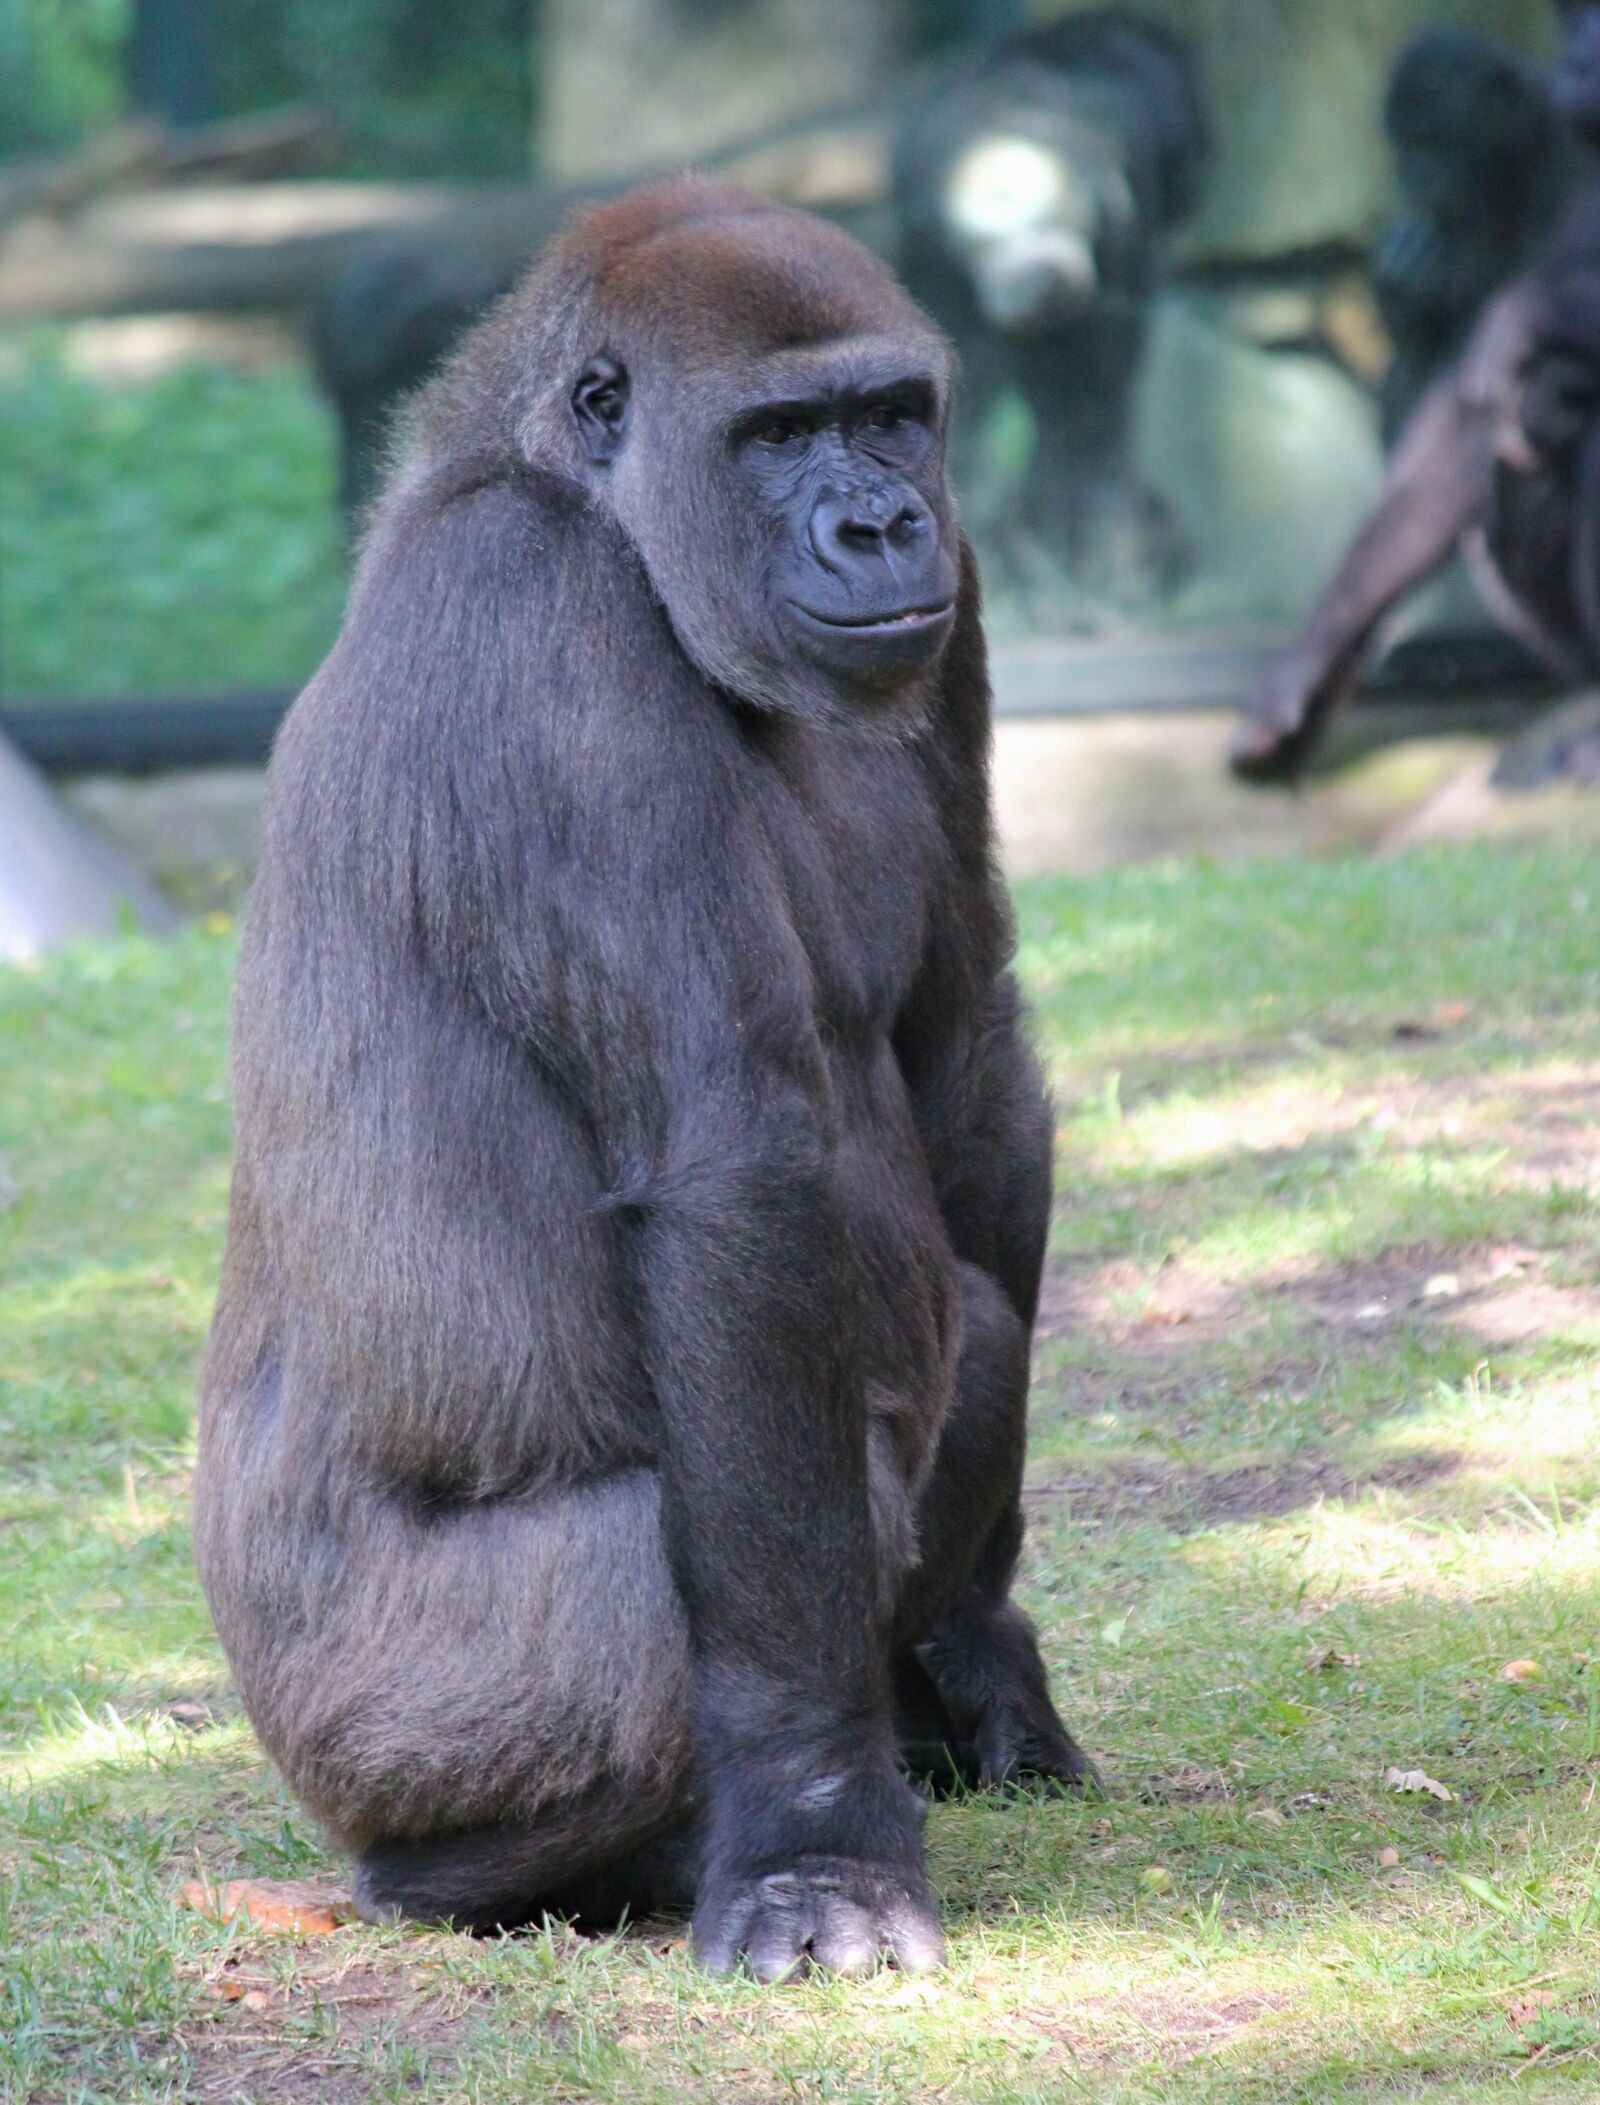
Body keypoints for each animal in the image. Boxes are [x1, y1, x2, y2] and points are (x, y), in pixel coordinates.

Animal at [194, 174, 1096, 1986]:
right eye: (777, 435)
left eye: (891, 415)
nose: (880, 525)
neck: (595, 507)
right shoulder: (544, 626)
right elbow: (737, 1174)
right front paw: (818, 1835)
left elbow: (961, 1057)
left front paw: (981, 1647)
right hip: (364, 1720)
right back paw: (497, 1865)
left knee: (967, 1311)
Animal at [1232, 0, 1600, 784]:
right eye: (1572, 14)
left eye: (1433, 142)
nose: (1578, 58)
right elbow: (1459, 419)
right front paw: (1316, 652)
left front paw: (1535, 307)